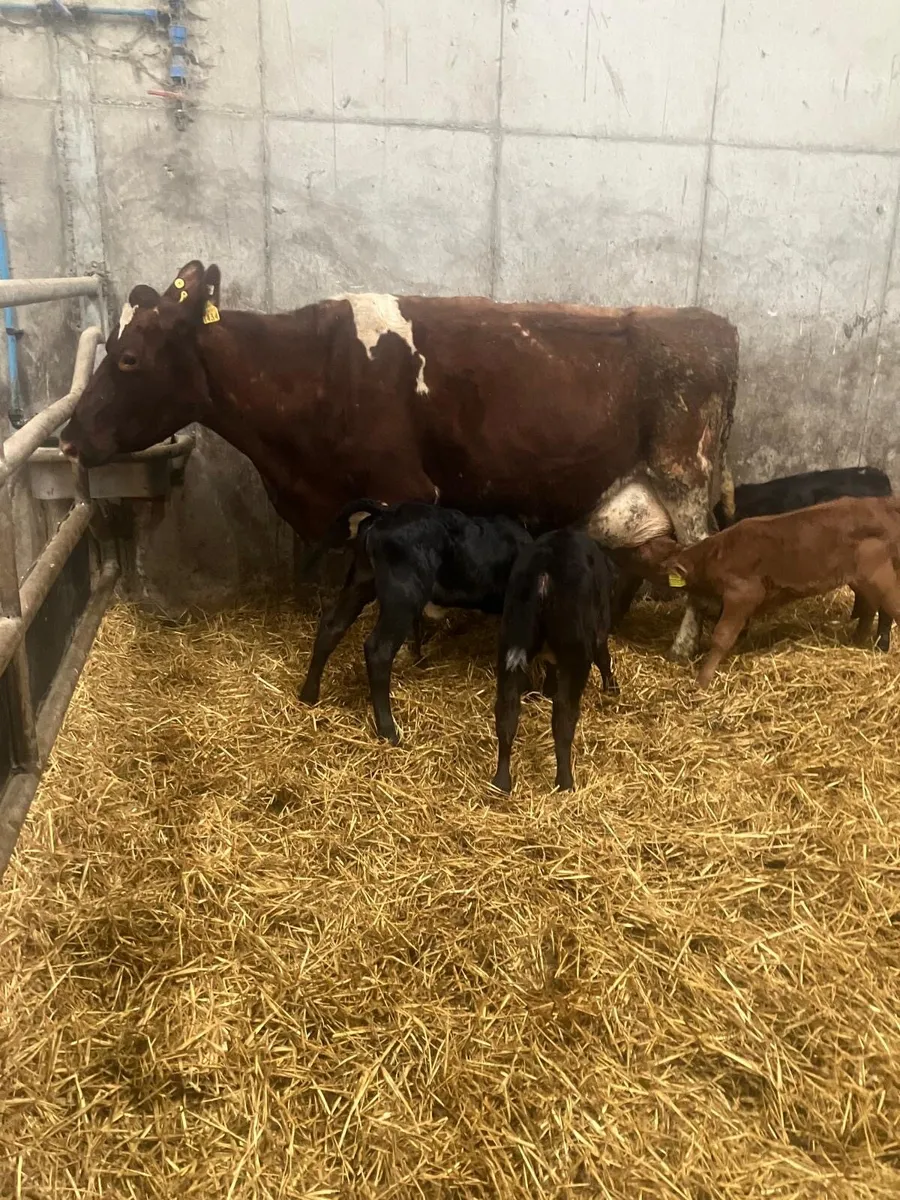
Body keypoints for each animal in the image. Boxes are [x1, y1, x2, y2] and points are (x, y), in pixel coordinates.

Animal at [58, 259, 739, 661]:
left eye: (128, 359)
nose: (67, 437)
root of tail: (711, 325)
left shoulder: (401, 488)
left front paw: (423, 633)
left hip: (685, 476)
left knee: (703, 551)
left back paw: (685, 648)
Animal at [298, 500, 533, 744]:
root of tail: (387, 514)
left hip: (362, 582)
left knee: (331, 627)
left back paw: (309, 695)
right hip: (402, 597)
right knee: (378, 651)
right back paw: (388, 731)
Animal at [641, 495, 900, 687]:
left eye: (657, 565)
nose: (641, 546)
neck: (715, 555)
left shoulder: (743, 594)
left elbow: (722, 636)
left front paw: (702, 679)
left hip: (878, 574)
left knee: (890, 607)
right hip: (862, 579)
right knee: (870, 608)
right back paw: (857, 642)